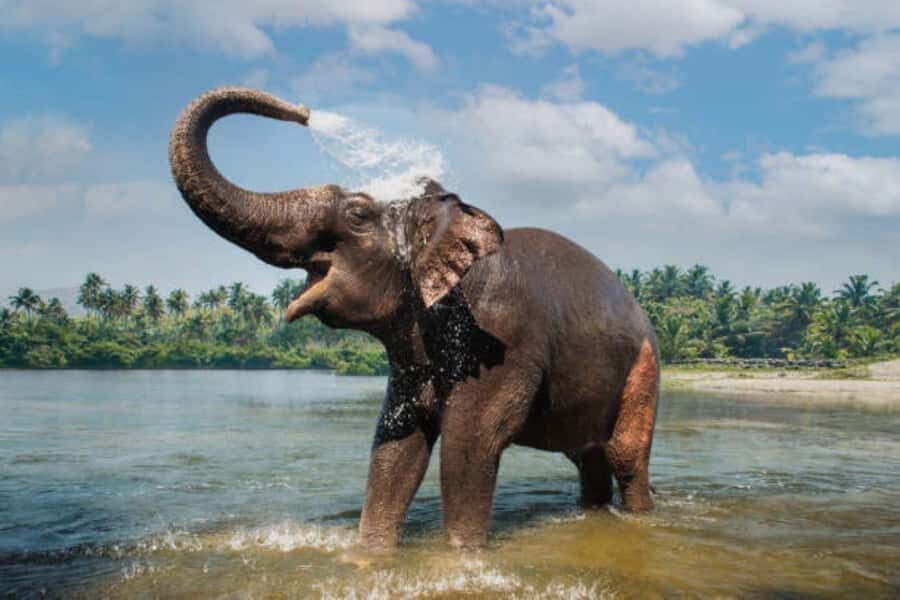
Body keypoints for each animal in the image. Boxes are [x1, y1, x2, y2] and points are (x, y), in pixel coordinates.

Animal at [169, 87, 660, 551]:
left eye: (357, 214)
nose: (303, 111)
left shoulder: (503, 339)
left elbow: (469, 444)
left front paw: (461, 556)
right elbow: (397, 445)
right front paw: (370, 554)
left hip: (645, 367)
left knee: (624, 457)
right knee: (587, 456)